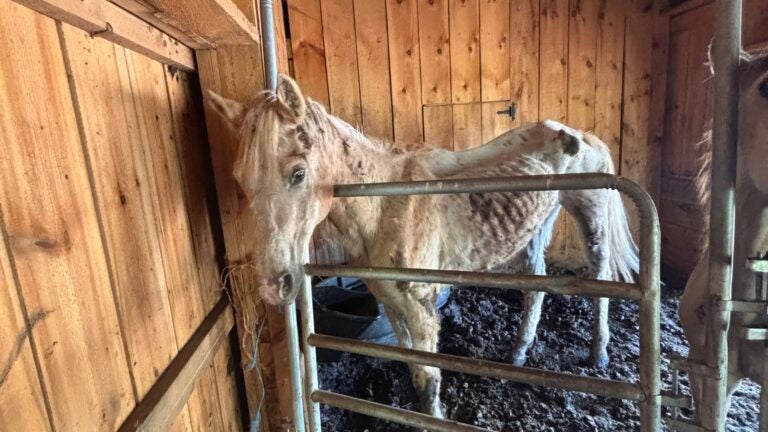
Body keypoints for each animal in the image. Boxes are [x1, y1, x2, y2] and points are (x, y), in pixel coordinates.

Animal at [206, 74, 639, 418]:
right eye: (240, 180)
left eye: (298, 173)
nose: (272, 287)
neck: (384, 208)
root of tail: (581, 134)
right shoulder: (392, 303)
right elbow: (415, 374)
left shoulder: (421, 305)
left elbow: (429, 381)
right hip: (536, 226)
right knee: (537, 286)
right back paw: (518, 354)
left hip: (589, 212)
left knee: (600, 276)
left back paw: (599, 353)